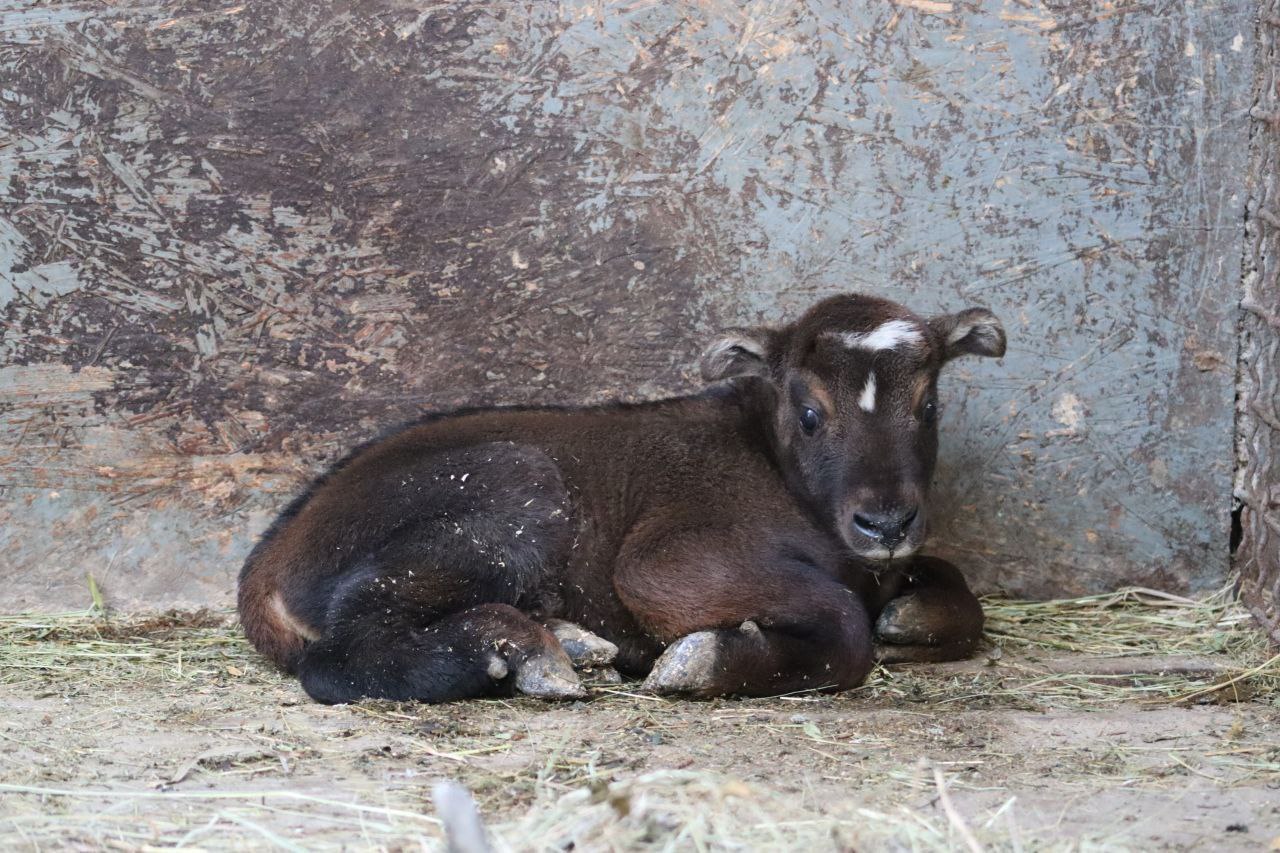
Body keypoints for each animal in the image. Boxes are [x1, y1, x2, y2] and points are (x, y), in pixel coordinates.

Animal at [238, 294, 998, 701]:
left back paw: (567, 640)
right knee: (340, 654)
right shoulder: (665, 560)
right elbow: (846, 627)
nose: (886, 522)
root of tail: (266, 569)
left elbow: (956, 592)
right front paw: (702, 660)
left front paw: (909, 617)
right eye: (810, 413)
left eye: (928, 405)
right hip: (516, 487)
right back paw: (521, 650)